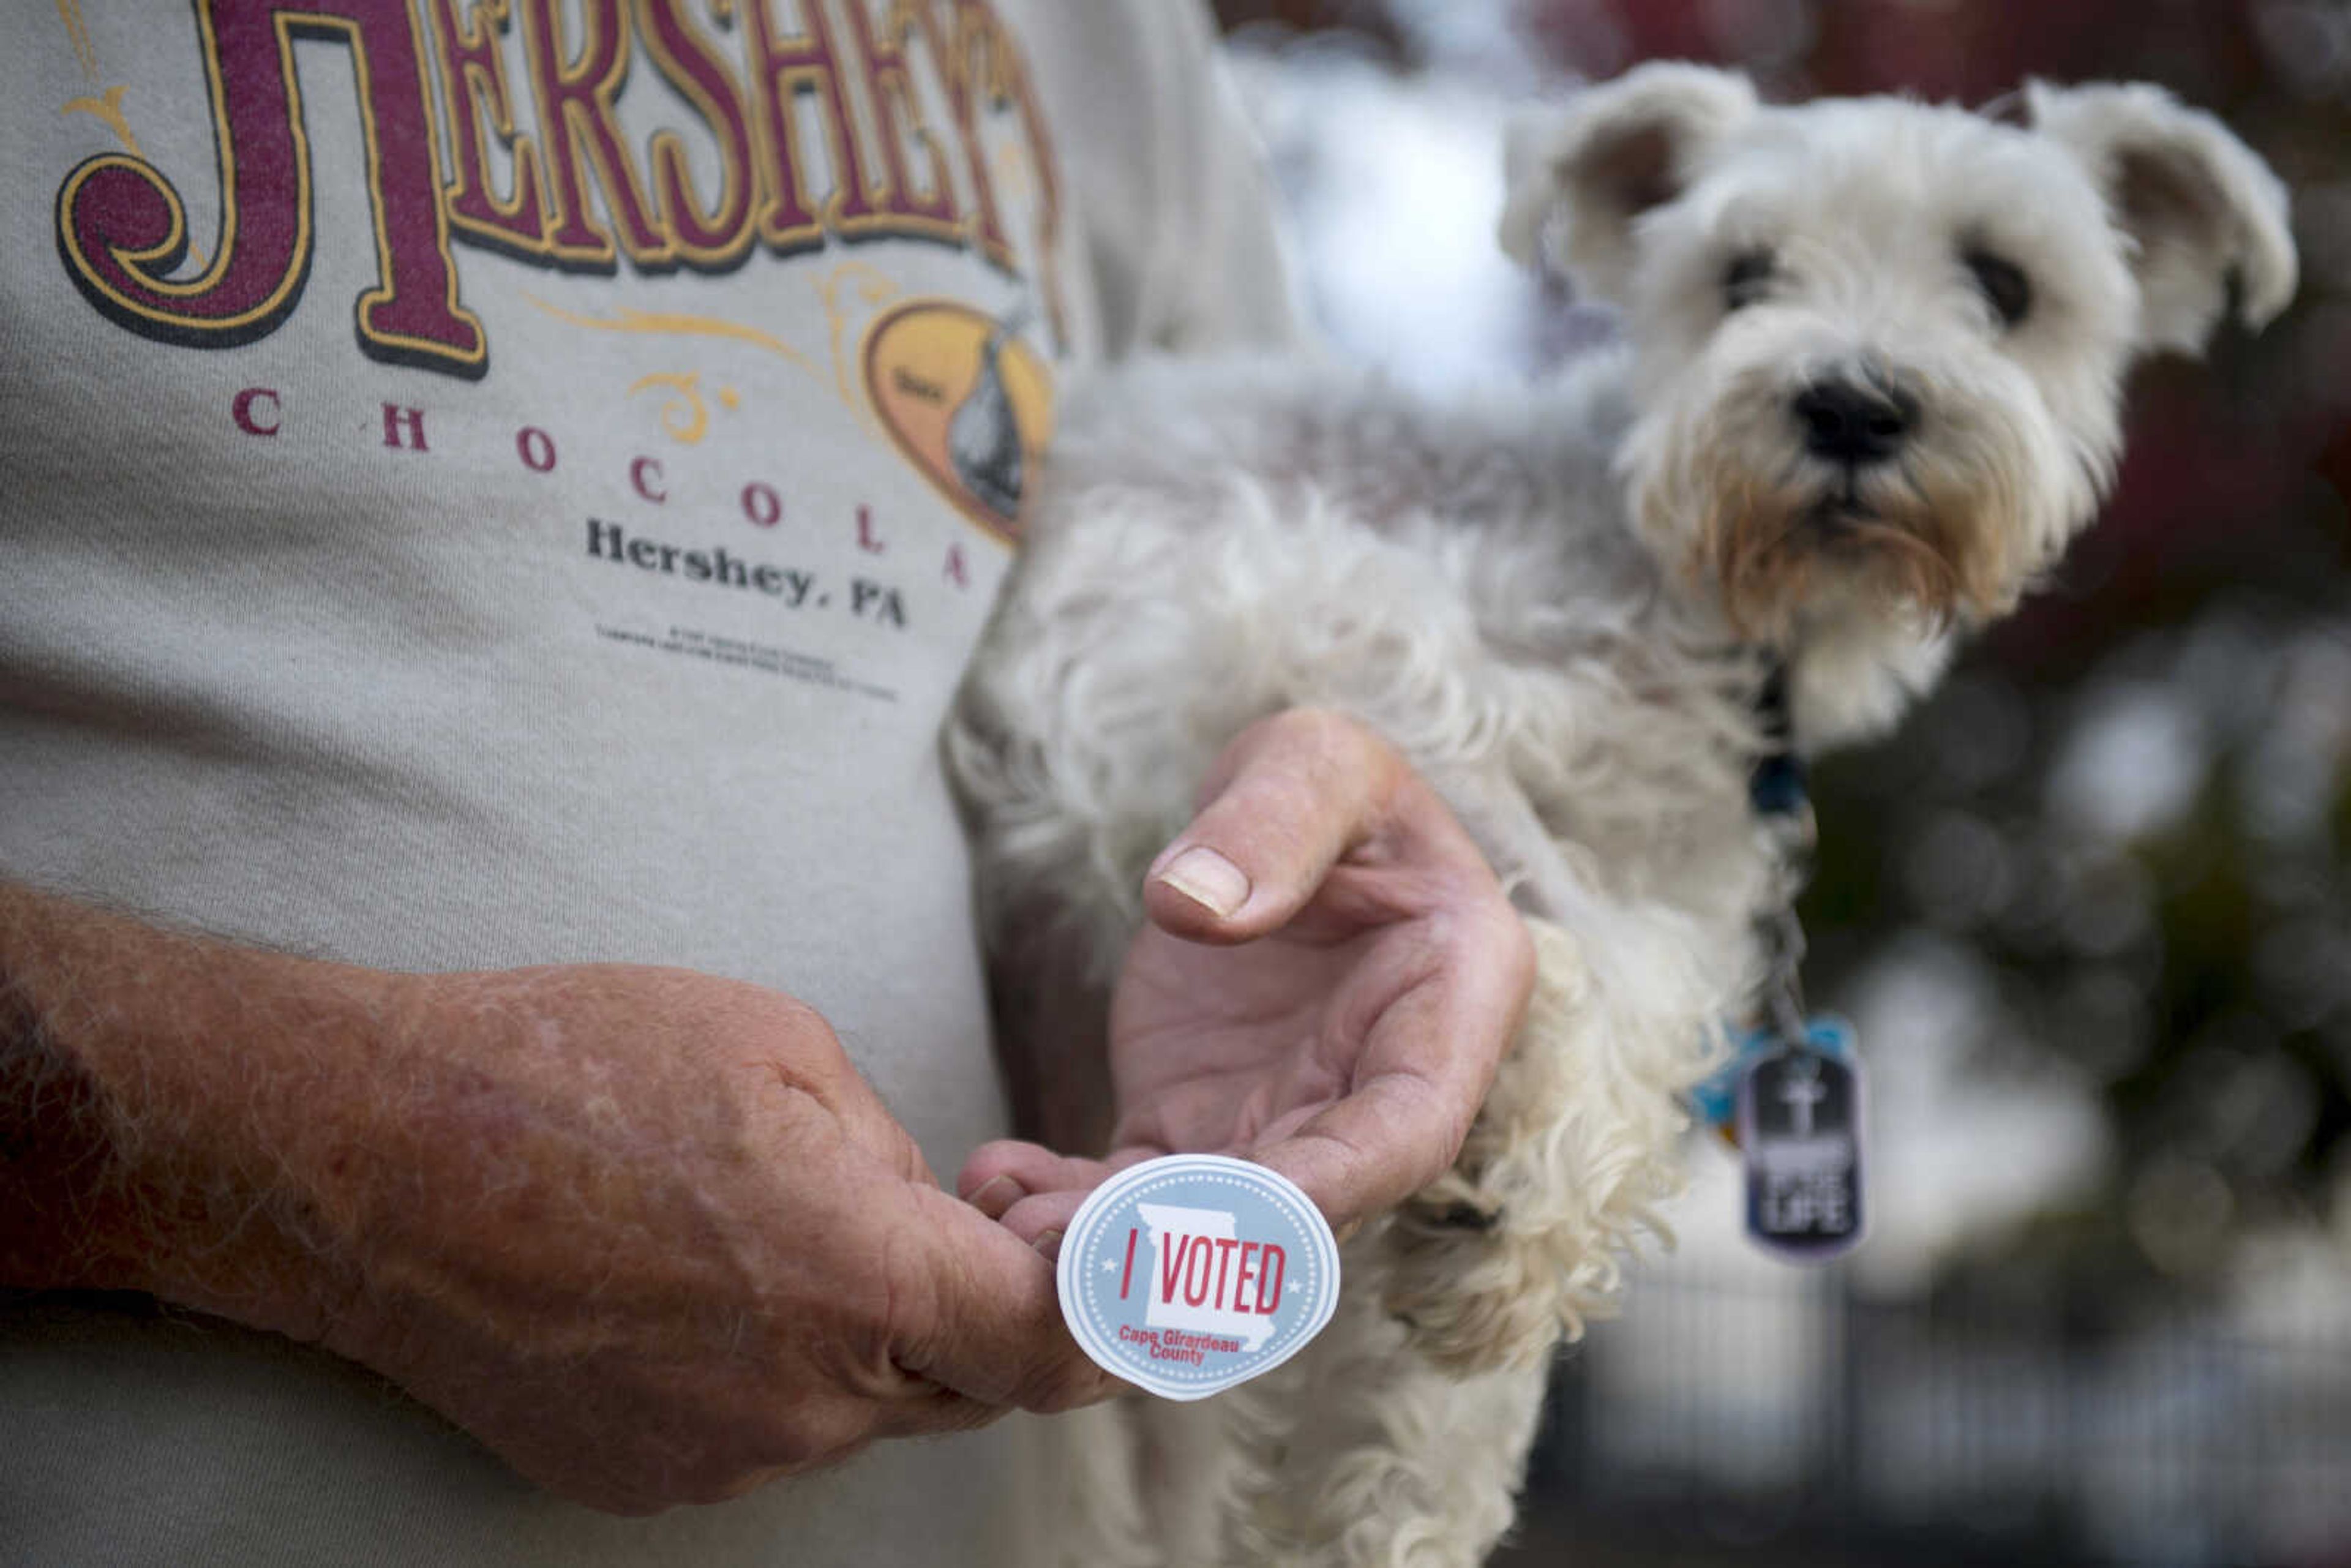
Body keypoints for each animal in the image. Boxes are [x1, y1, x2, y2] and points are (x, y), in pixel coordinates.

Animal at [940, 64, 2294, 1568]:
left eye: (2004, 282)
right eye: (1743, 274)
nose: (1852, 406)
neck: (1679, 579)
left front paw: (1400, 1480)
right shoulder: (1290, 621)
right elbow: (1583, 930)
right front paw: (1519, 1200)